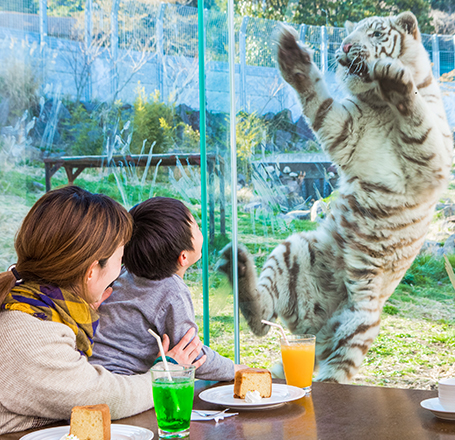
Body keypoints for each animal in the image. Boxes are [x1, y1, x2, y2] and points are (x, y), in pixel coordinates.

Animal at [219, 10, 454, 382]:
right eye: (350, 34)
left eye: (375, 33)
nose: (343, 47)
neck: (378, 104)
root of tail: (317, 329)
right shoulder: (344, 126)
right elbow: (318, 99)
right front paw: (294, 57)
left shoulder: (432, 159)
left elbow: (416, 117)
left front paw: (394, 79)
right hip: (295, 251)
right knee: (262, 320)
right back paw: (238, 268)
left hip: (361, 316)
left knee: (332, 369)